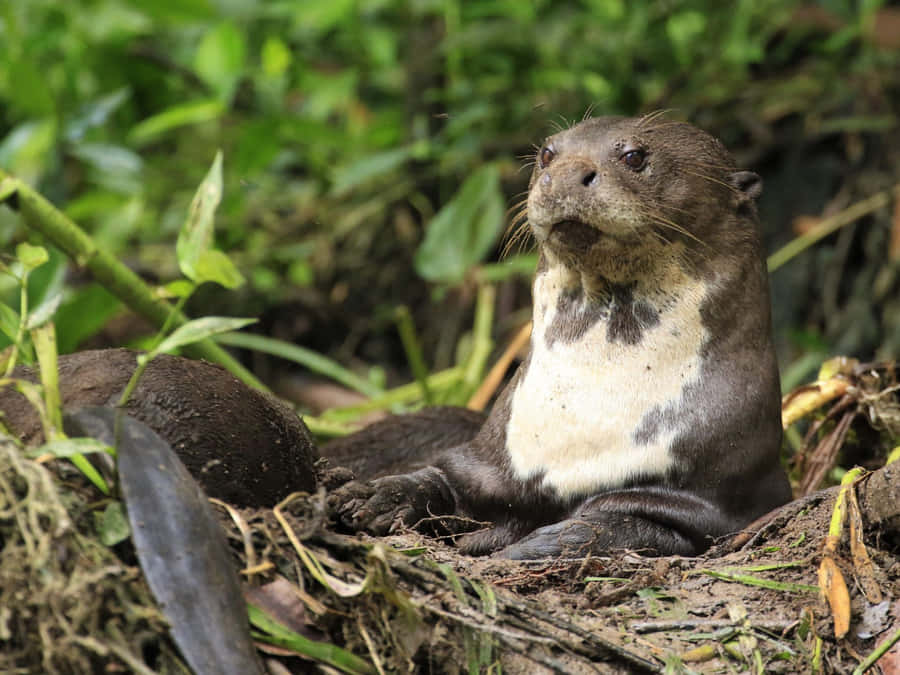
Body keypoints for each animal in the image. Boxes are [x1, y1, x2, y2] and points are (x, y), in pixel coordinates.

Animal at [327, 115, 791, 559]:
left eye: (635, 156)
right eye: (548, 153)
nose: (566, 173)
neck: (584, 410)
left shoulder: (708, 503)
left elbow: (617, 524)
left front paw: (531, 546)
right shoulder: (486, 462)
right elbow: (434, 478)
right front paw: (374, 495)